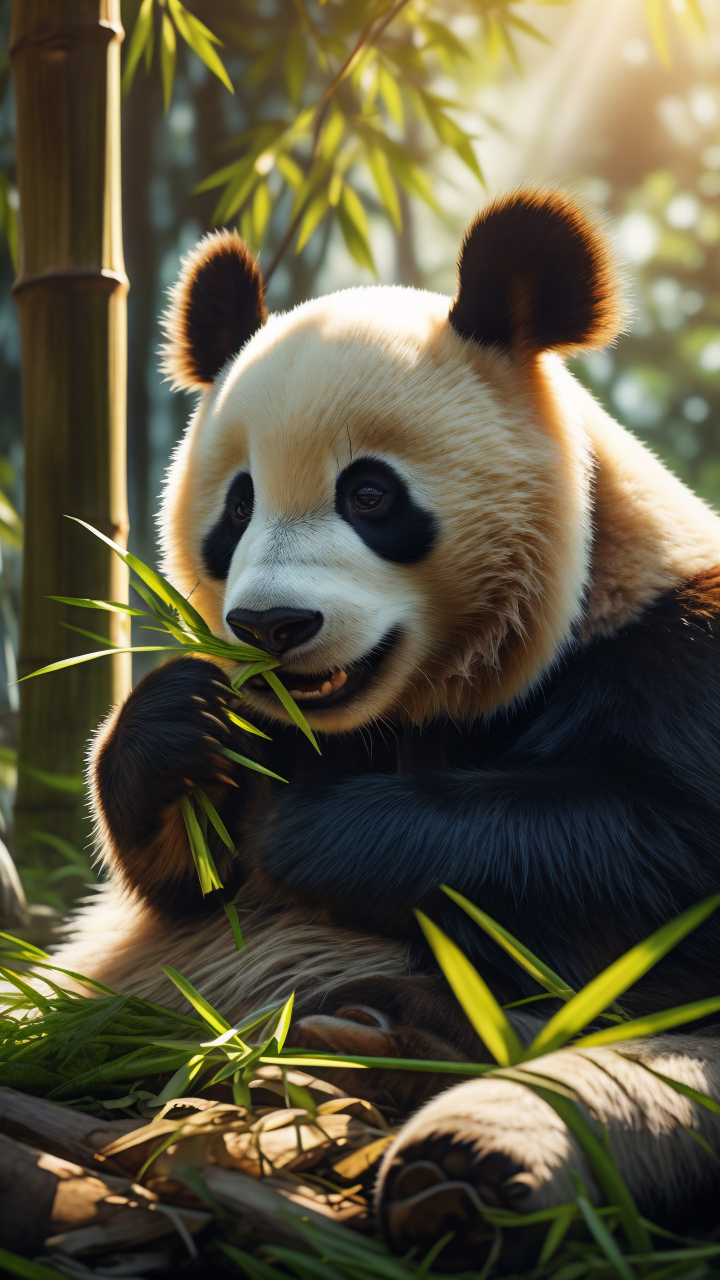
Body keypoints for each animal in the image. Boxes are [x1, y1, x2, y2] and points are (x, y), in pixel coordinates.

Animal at [56, 188, 720, 1263]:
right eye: (236, 507)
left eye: (369, 493)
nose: (273, 627)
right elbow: (186, 883)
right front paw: (181, 725)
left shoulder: (673, 649)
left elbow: (647, 848)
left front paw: (310, 831)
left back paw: (412, 1083)